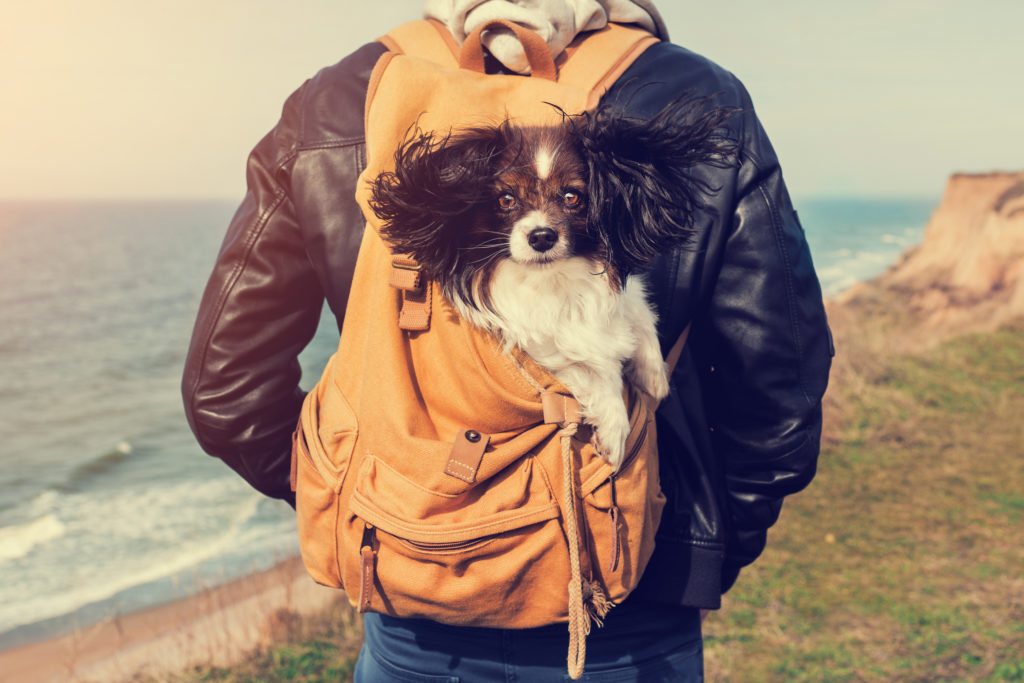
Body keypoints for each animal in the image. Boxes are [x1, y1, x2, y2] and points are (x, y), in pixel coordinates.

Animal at [372, 97, 733, 471]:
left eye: (572, 197)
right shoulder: (537, 352)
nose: (541, 236)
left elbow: (639, 308)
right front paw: (615, 431)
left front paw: (654, 373)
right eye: (506, 200)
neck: (555, 279)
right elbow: (593, 371)